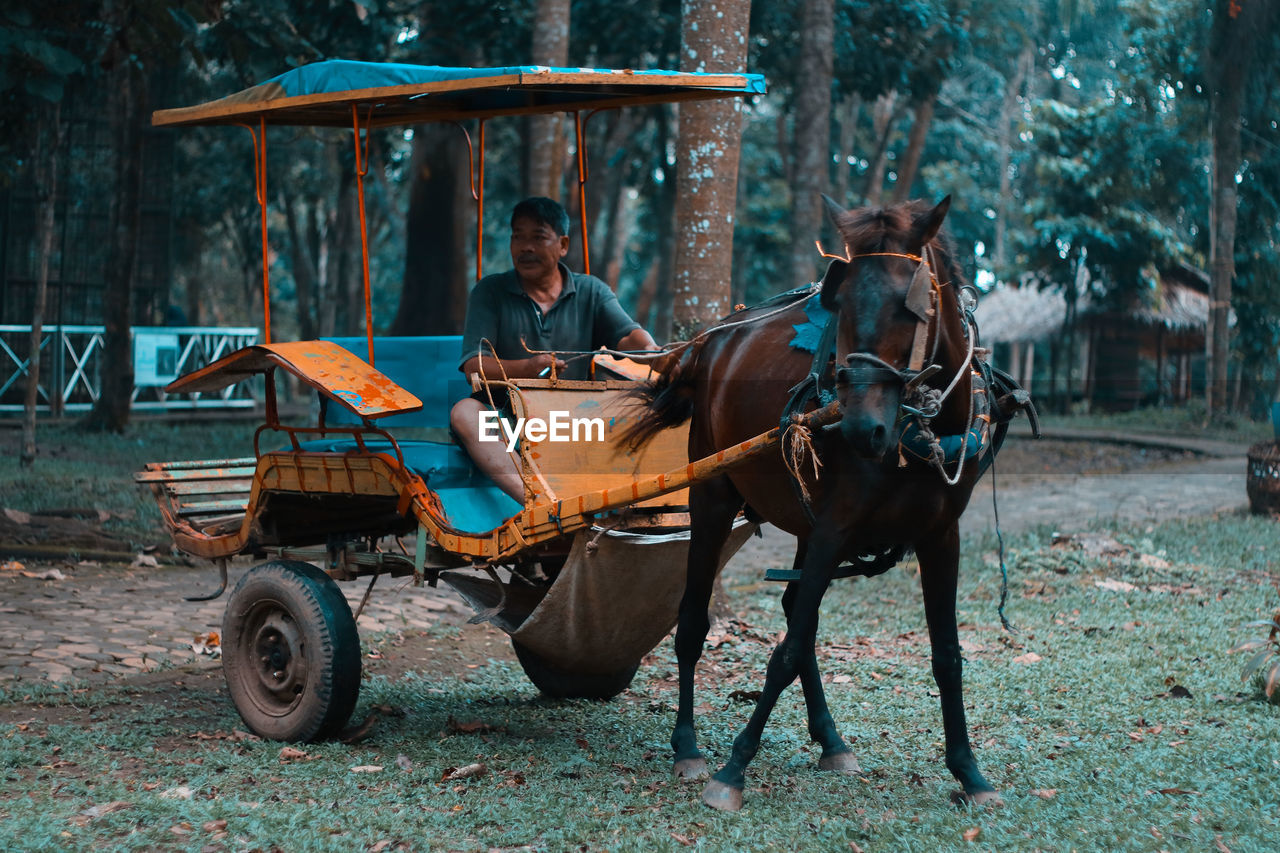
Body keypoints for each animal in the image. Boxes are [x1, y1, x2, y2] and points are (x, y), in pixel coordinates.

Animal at [622, 195, 1029, 809]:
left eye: (912, 310)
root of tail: (708, 341)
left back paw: (830, 740)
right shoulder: (836, 526)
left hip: (803, 519)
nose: (862, 428)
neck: (918, 434)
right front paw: (732, 770)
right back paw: (688, 747)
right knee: (695, 622)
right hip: (713, 494)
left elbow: (946, 655)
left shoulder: (940, 534)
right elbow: (785, 651)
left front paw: (970, 773)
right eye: (842, 305)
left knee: (798, 613)